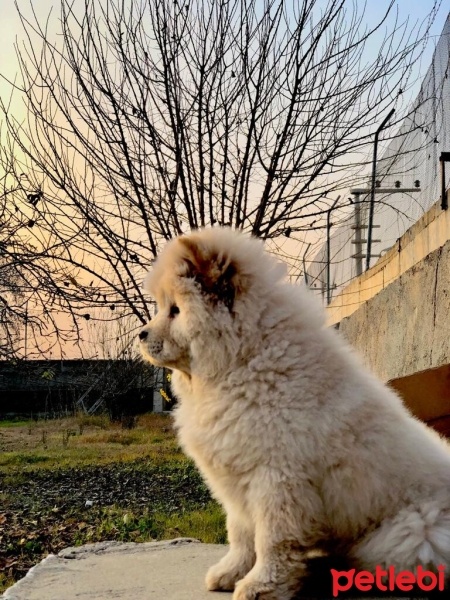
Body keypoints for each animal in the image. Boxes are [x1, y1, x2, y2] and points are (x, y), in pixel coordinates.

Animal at [139, 226, 450, 600]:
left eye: (175, 310)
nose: (141, 334)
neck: (242, 361)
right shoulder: (237, 480)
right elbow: (240, 534)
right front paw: (230, 573)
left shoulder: (277, 479)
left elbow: (271, 540)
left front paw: (260, 585)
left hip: (415, 530)